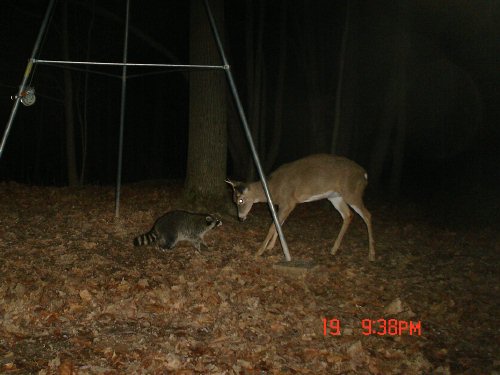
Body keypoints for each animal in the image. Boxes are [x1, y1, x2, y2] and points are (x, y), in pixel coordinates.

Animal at [227, 153, 376, 262]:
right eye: (233, 200)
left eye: (240, 200)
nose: (240, 218)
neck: (273, 189)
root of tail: (364, 174)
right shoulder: (284, 204)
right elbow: (279, 224)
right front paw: (270, 247)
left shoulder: (289, 201)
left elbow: (273, 225)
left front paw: (259, 251)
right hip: (335, 196)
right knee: (348, 215)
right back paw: (333, 249)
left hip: (352, 192)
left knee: (367, 214)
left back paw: (371, 254)